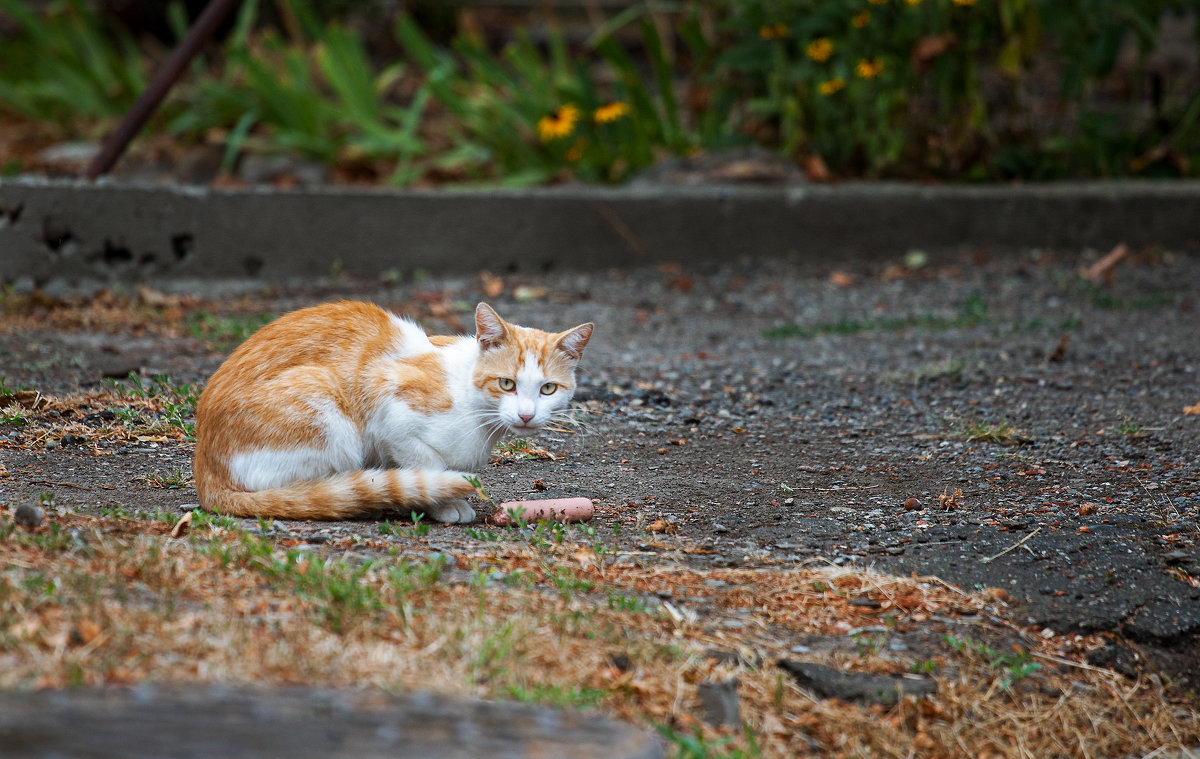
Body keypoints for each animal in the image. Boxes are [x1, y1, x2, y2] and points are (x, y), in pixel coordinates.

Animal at [192, 301, 595, 521]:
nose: (526, 415)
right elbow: (429, 465)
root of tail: (205, 473)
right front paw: (444, 503)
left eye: (547, 389)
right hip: (328, 406)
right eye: (507, 383)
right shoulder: (389, 408)